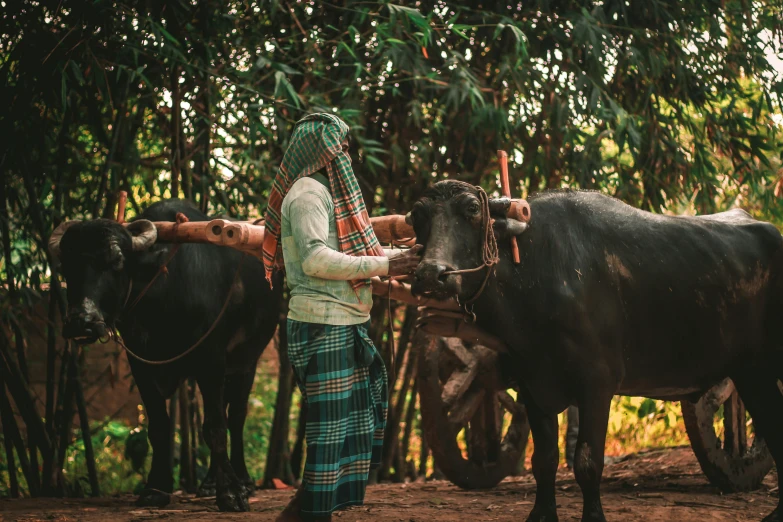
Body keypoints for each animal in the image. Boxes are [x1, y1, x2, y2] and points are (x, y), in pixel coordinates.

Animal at [48, 199, 284, 508]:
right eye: (67, 265)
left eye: (116, 261)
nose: (81, 321)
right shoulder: (140, 363)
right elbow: (160, 426)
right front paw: (155, 488)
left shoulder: (211, 358)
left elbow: (216, 426)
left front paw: (231, 493)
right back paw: (210, 483)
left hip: (247, 360)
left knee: (235, 416)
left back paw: (243, 480)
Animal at [410, 180, 783, 520]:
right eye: (417, 215)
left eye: (473, 209)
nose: (431, 275)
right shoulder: (531, 386)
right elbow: (543, 460)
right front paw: (541, 515)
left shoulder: (597, 384)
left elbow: (588, 462)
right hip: (751, 373)